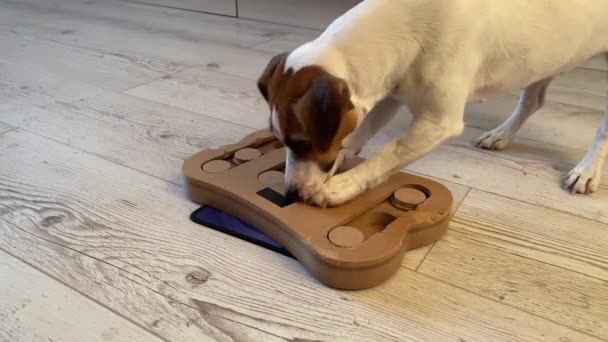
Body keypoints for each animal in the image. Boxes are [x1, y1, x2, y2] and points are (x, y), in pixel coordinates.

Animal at [258, 0, 608, 207]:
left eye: (303, 143)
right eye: (281, 141)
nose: (290, 193)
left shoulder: (437, 122)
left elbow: (387, 155)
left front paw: (341, 186)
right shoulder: (390, 93)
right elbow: (358, 134)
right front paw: (343, 158)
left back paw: (587, 170)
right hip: (546, 58)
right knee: (533, 101)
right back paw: (502, 134)